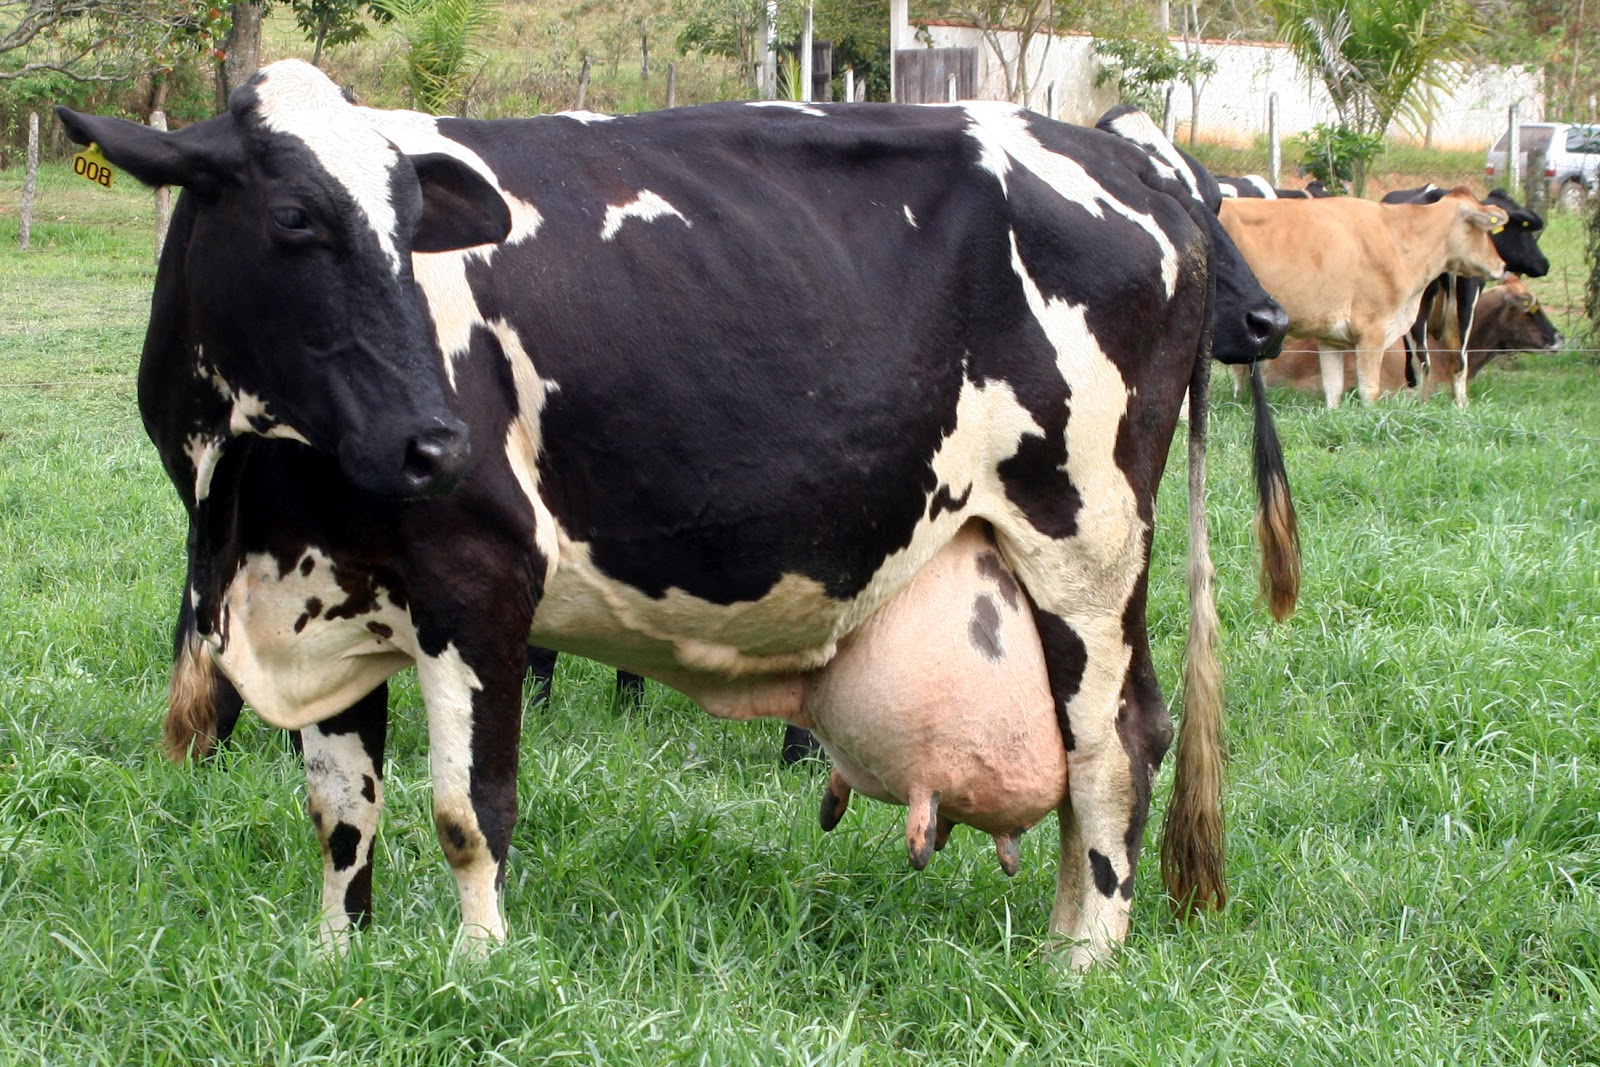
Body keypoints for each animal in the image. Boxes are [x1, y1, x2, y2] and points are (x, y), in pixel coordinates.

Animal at [60, 60, 1296, 970]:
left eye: (412, 227)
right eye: (292, 217)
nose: (434, 441)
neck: (249, 494)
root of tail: (1130, 167)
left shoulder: (479, 576)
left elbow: (468, 808)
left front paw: (480, 967)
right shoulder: (321, 594)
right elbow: (340, 809)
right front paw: (336, 964)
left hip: (1086, 542)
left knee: (1113, 745)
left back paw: (1084, 960)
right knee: (1116, 740)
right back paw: (1059, 935)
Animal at [1220, 188, 1509, 408]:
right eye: (1484, 229)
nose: (1502, 265)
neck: (1398, 238)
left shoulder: (1330, 337)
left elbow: (1333, 389)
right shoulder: (1372, 330)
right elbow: (1369, 390)